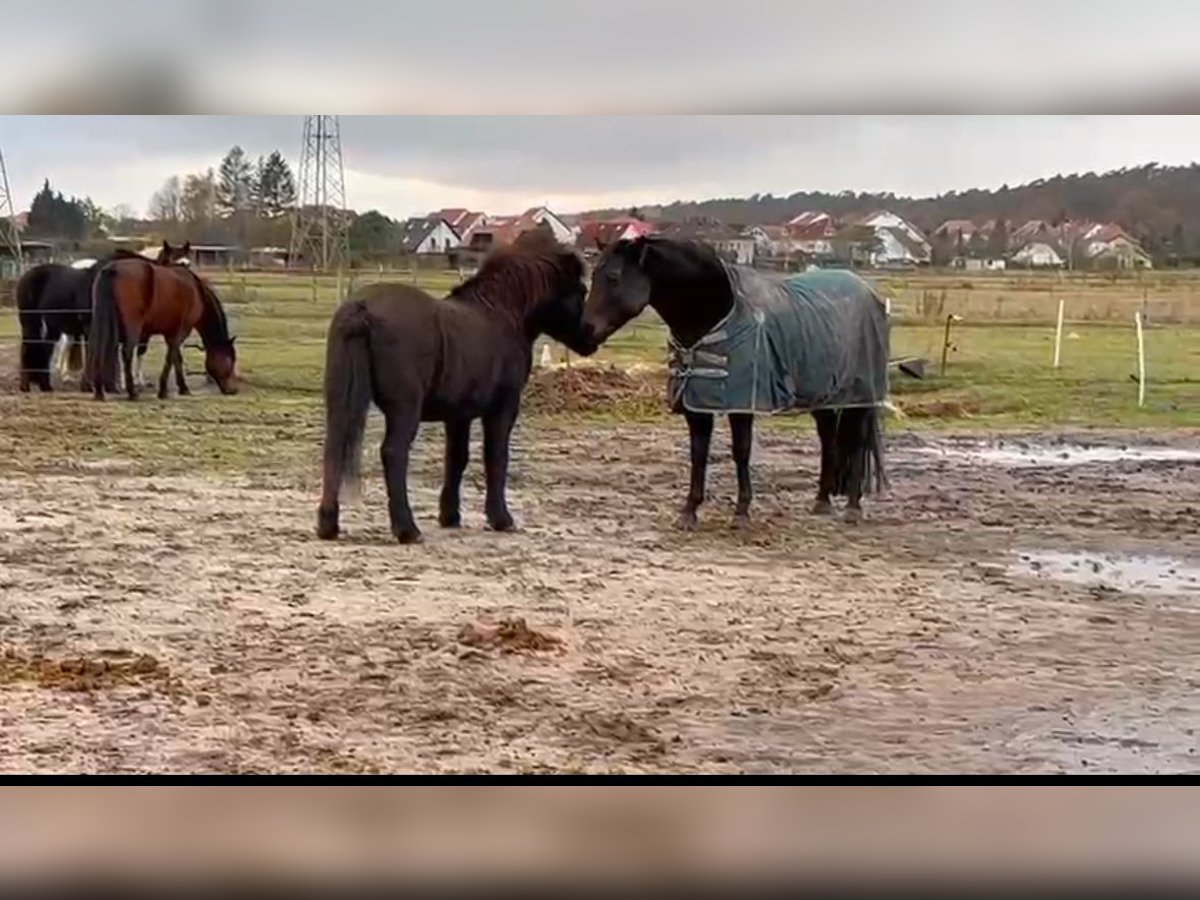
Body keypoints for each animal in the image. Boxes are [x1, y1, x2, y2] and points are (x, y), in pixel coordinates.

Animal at [16, 241, 190, 393]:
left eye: (188, 264)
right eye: (174, 263)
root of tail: (27, 275)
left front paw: (112, 386)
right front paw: (92, 386)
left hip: (53, 325)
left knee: (46, 348)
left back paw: (45, 385)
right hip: (31, 322)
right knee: (29, 346)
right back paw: (28, 385)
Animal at [87, 247, 237, 400]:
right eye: (230, 359)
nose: (232, 390)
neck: (196, 292)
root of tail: (112, 270)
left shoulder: (170, 333)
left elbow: (176, 357)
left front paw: (182, 387)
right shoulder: (180, 332)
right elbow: (171, 357)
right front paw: (164, 390)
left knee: (97, 350)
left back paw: (99, 391)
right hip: (132, 328)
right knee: (127, 352)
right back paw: (132, 392)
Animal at [319, 229, 600, 547]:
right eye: (580, 291)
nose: (592, 336)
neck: (502, 313)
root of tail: (362, 308)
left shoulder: (459, 414)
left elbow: (456, 459)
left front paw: (450, 516)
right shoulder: (502, 407)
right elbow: (495, 457)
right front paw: (500, 518)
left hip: (340, 400)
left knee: (334, 448)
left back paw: (328, 525)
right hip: (405, 407)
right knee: (393, 452)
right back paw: (407, 529)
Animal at [583, 236, 892, 528]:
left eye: (613, 277)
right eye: (593, 275)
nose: (585, 330)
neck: (717, 312)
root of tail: (868, 292)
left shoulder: (742, 404)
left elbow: (741, 452)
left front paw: (741, 512)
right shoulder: (696, 404)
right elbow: (698, 454)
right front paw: (689, 511)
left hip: (861, 395)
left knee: (857, 442)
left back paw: (852, 507)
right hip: (823, 393)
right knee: (828, 437)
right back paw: (822, 501)